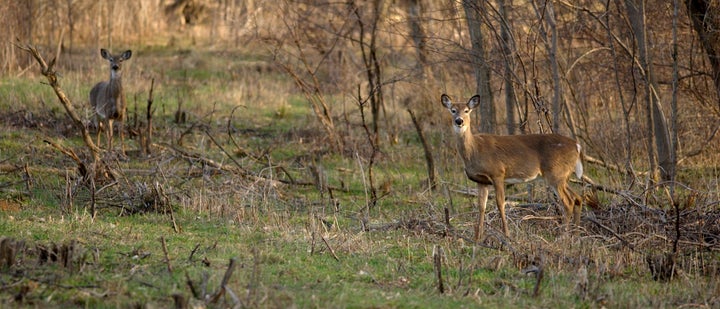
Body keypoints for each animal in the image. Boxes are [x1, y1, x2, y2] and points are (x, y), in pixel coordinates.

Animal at [438, 92, 584, 239]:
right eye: (453, 110)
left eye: (467, 110)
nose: (459, 121)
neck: (474, 150)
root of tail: (577, 146)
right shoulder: (482, 180)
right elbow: (481, 206)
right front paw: (477, 237)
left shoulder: (497, 173)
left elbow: (500, 203)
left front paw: (506, 235)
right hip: (562, 175)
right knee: (577, 198)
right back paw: (575, 234)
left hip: (555, 173)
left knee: (568, 202)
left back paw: (563, 236)